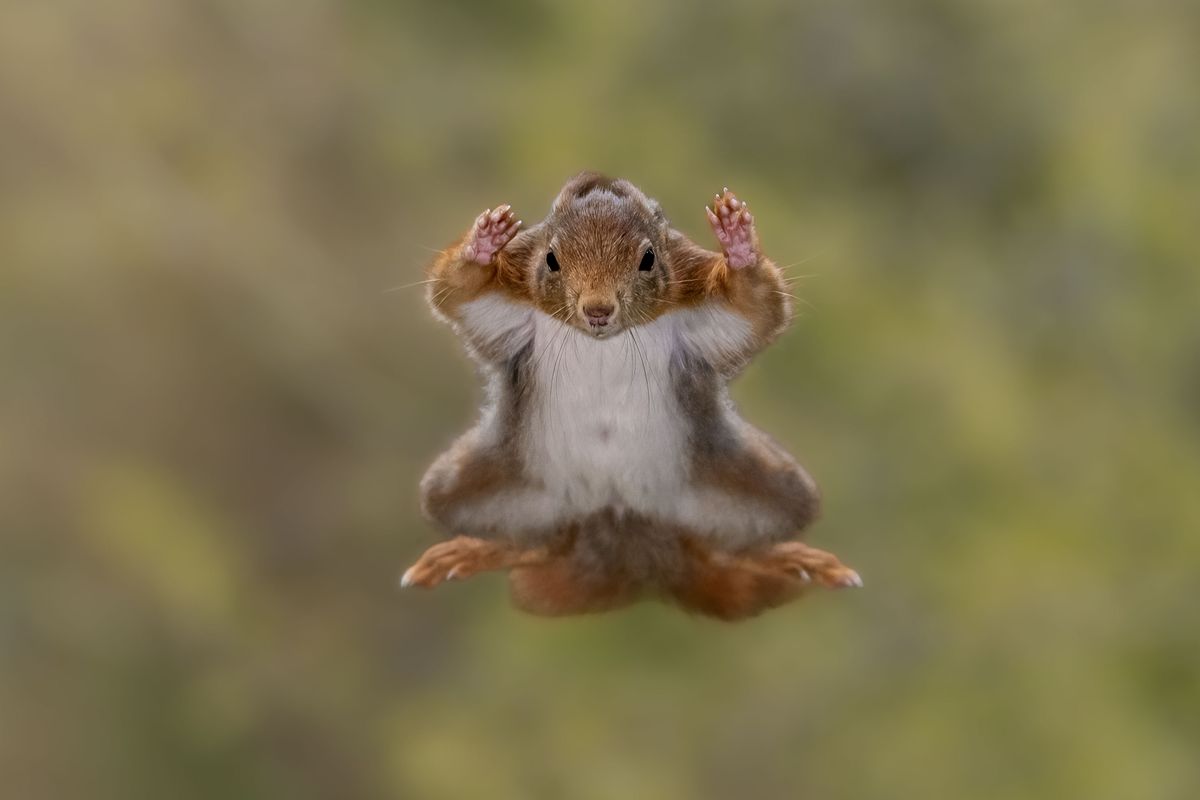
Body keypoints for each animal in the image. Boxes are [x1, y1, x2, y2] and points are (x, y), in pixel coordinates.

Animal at [402, 172, 860, 620]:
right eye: (551, 259)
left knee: (724, 546)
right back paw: (479, 549)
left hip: (759, 486)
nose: (598, 310)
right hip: (479, 485)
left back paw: (785, 558)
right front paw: (483, 245)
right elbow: (458, 294)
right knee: (538, 542)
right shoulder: (510, 302)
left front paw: (739, 245)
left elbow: (755, 309)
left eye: (648, 259)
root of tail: (622, 531)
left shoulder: (697, 301)